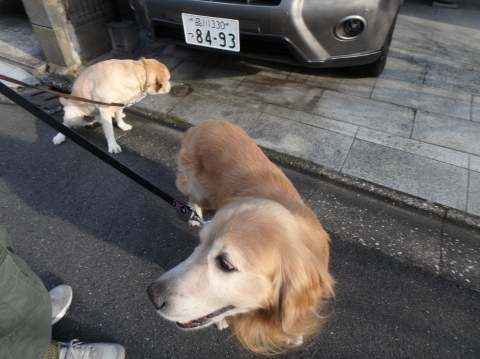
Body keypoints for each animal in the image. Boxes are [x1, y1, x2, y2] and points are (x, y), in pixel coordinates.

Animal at [147, 120, 334, 354]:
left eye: (226, 264)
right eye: (201, 244)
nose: (151, 296)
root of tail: (204, 123)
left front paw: (292, 334)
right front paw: (220, 320)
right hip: (197, 187)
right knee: (191, 197)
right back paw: (193, 214)